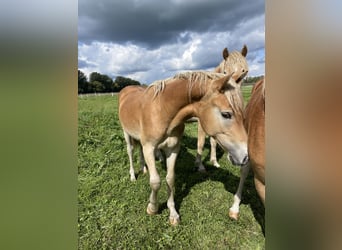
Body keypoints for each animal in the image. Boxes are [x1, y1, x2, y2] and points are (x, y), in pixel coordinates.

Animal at [119, 71, 248, 225]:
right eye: (226, 114)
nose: (245, 156)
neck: (163, 110)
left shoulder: (173, 148)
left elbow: (170, 179)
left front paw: (173, 214)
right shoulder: (149, 147)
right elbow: (155, 182)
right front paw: (152, 207)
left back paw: (144, 169)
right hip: (127, 134)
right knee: (130, 151)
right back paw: (133, 175)